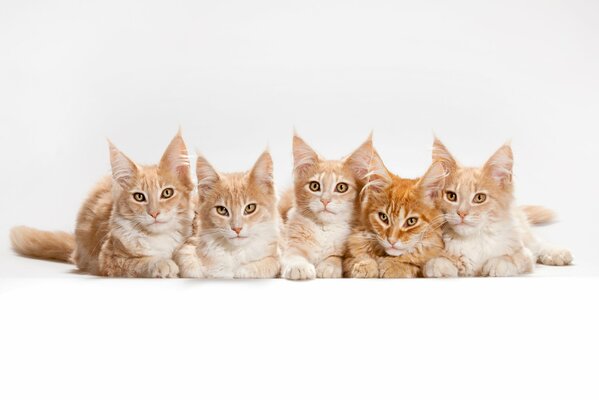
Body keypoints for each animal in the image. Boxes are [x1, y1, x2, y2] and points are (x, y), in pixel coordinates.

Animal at [10, 133, 195, 276]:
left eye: (167, 193)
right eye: (139, 197)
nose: (154, 213)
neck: (160, 237)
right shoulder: (109, 258)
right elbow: (139, 262)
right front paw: (162, 263)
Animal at [173, 150, 282, 278]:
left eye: (250, 208)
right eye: (221, 210)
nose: (237, 229)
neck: (234, 251)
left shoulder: (277, 254)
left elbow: (266, 264)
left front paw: (241, 272)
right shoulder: (189, 243)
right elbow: (186, 259)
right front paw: (200, 271)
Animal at [280, 134, 372, 282]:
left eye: (341, 187)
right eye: (314, 186)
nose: (325, 200)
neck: (325, 228)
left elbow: (336, 257)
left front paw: (329, 266)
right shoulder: (291, 240)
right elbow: (292, 254)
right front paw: (298, 266)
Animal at [340, 143, 452, 278]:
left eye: (411, 221)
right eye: (383, 217)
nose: (391, 241)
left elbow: (411, 262)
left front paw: (392, 266)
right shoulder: (349, 252)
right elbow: (355, 257)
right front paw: (365, 266)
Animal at [424, 138, 576, 278]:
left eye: (479, 198)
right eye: (451, 196)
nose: (461, 213)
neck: (473, 239)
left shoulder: (523, 253)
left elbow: (513, 258)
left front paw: (497, 264)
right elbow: (437, 262)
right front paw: (439, 265)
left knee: (538, 243)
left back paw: (558, 254)